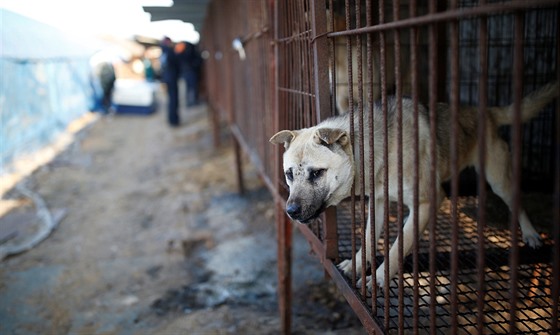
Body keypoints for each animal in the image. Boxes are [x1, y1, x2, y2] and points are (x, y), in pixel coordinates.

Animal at [270, 80, 556, 288]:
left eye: (316, 173)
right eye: (289, 174)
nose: (290, 211)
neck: (377, 149)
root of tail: (485, 111)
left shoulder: (428, 201)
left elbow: (398, 248)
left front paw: (379, 279)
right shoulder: (379, 201)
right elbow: (369, 239)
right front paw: (356, 264)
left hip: (499, 180)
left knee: (517, 203)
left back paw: (531, 234)